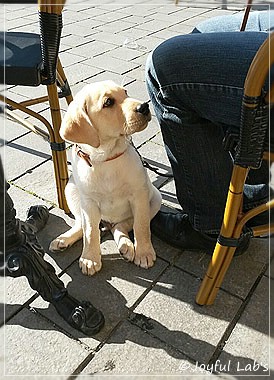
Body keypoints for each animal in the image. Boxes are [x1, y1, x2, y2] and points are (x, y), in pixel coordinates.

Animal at [50, 81, 162, 276]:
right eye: (108, 102)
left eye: (125, 92)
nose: (144, 107)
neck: (106, 158)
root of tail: (107, 222)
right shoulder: (89, 203)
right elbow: (90, 231)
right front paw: (90, 258)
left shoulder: (139, 196)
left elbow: (141, 226)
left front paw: (144, 253)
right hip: (70, 189)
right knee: (82, 224)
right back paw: (64, 239)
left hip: (155, 199)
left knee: (123, 225)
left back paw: (126, 246)